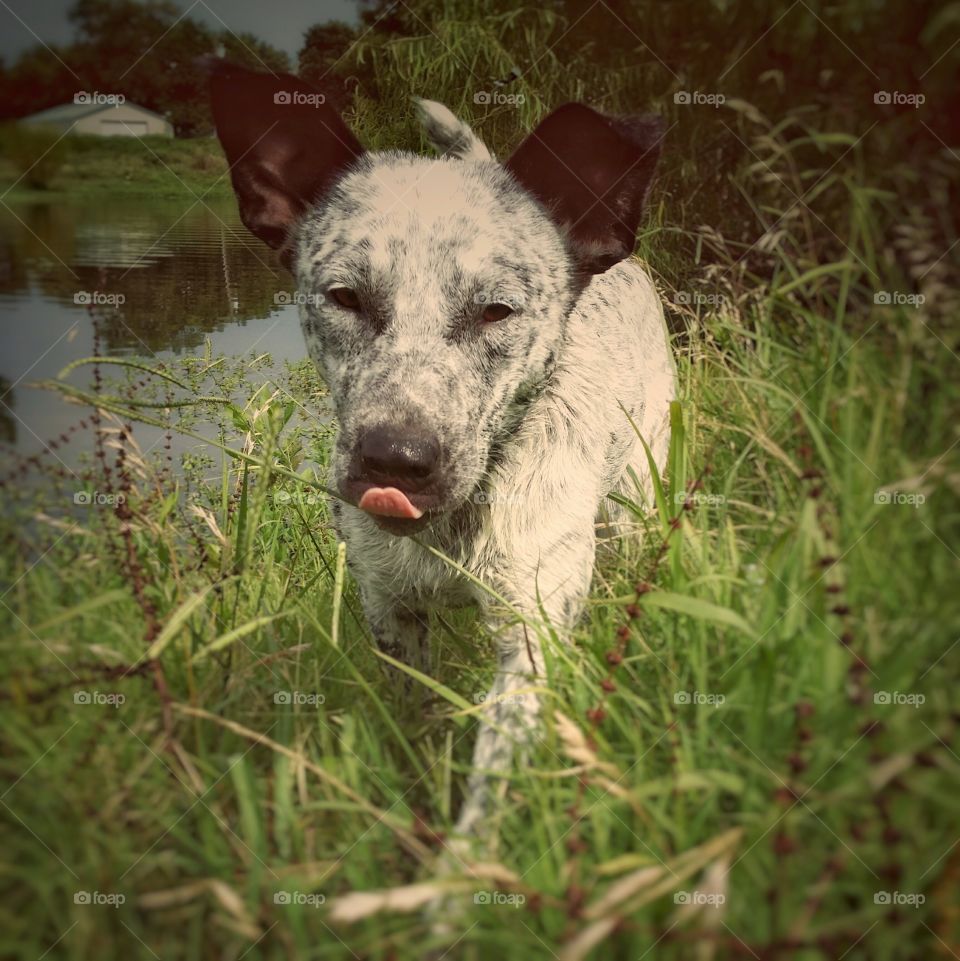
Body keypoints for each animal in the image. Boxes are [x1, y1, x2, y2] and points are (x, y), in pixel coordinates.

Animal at [210, 62, 676, 840]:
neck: (454, 526)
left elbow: (491, 785)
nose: (395, 460)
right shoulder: (390, 610)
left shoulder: (532, 632)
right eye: (344, 297)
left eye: (496, 310)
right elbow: (415, 727)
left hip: (639, 490)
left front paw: (459, 870)